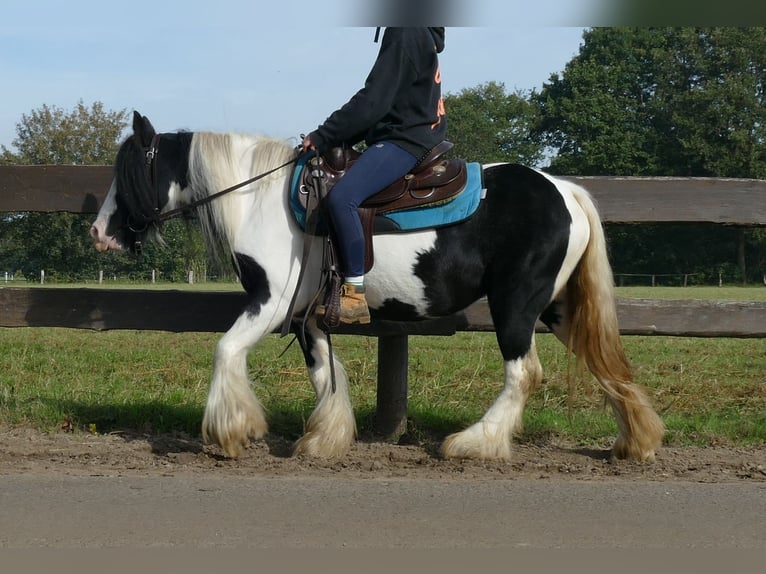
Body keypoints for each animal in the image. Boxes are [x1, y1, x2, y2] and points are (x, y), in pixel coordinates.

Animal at [90, 111, 664, 464]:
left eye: (129, 172)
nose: (99, 232)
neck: (260, 200)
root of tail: (564, 190)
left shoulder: (269, 303)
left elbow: (226, 349)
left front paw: (230, 432)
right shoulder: (305, 315)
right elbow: (324, 372)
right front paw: (325, 439)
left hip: (516, 305)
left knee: (523, 373)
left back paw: (474, 443)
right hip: (559, 308)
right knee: (603, 361)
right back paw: (635, 442)